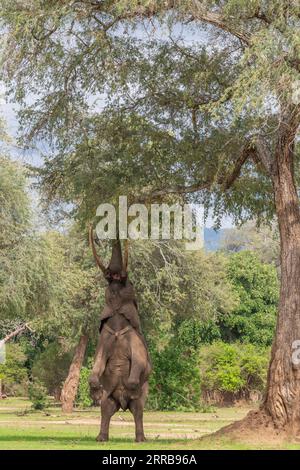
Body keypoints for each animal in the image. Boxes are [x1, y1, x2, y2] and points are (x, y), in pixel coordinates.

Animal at [88, 226, 151, 442]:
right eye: (109, 285)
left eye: (127, 283)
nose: (114, 275)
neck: (117, 328)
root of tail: (122, 405)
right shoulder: (104, 338)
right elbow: (97, 363)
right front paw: (95, 390)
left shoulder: (134, 339)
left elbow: (140, 362)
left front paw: (131, 386)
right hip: (111, 397)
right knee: (106, 409)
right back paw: (101, 438)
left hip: (141, 396)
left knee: (138, 409)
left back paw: (140, 439)